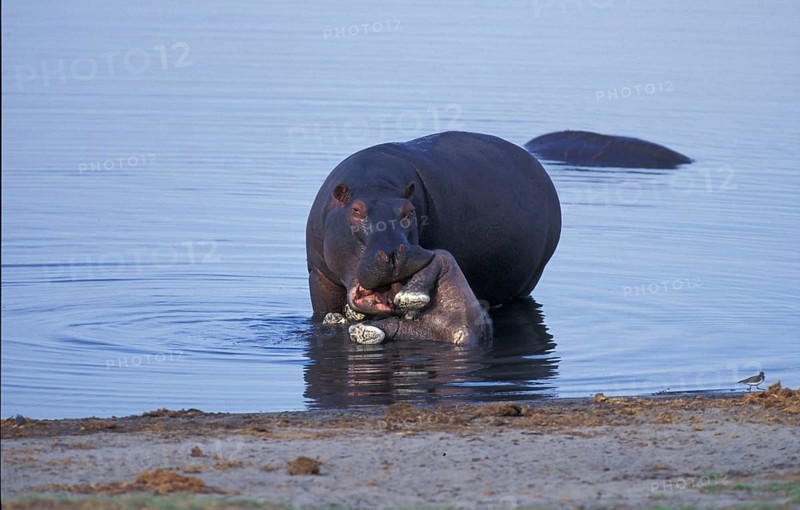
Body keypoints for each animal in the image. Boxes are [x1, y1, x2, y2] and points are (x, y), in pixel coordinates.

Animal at [325, 248, 492, 345]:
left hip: (455, 286)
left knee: (441, 256)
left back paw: (408, 297)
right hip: (429, 329)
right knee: (399, 327)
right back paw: (359, 331)